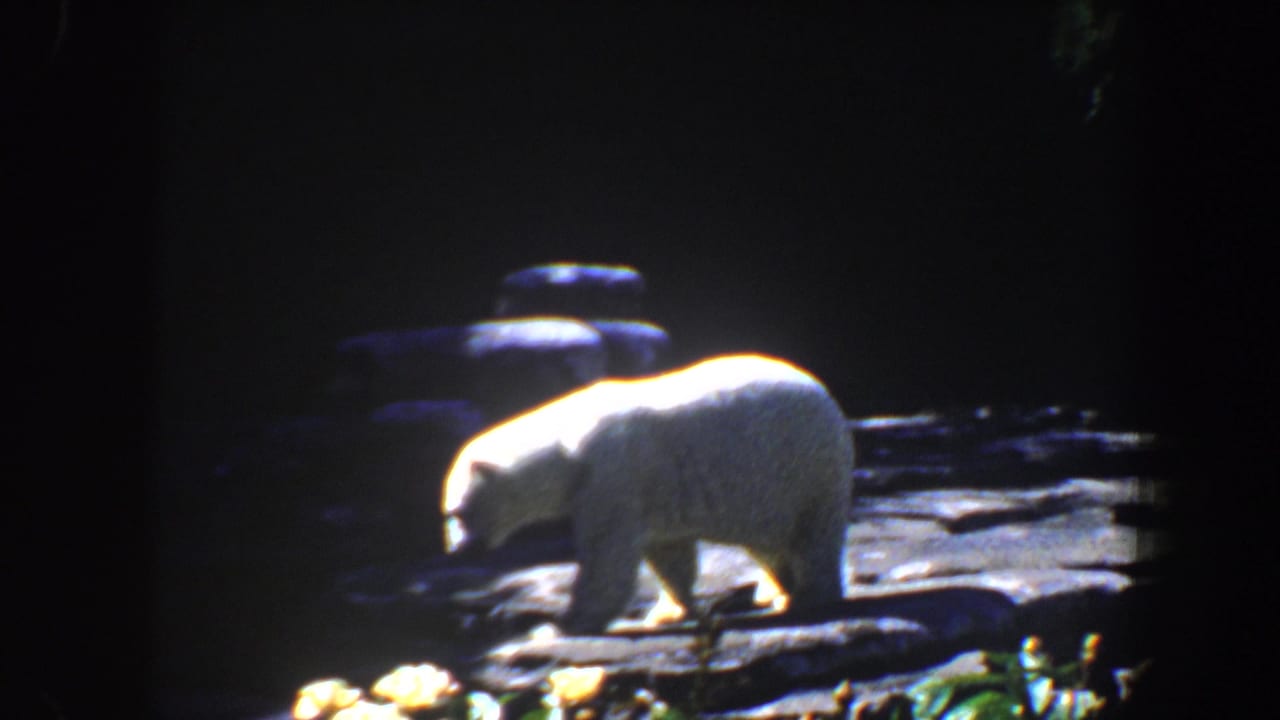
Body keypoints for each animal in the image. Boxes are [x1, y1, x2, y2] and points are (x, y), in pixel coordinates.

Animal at [440, 353, 854, 634]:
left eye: (457, 513)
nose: (459, 551)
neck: (566, 442)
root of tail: (828, 399)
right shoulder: (652, 493)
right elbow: (668, 551)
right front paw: (668, 611)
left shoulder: (611, 472)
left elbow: (608, 555)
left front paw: (560, 626)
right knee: (768, 541)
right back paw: (773, 589)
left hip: (803, 468)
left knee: (813, 534)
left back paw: (806, 595)